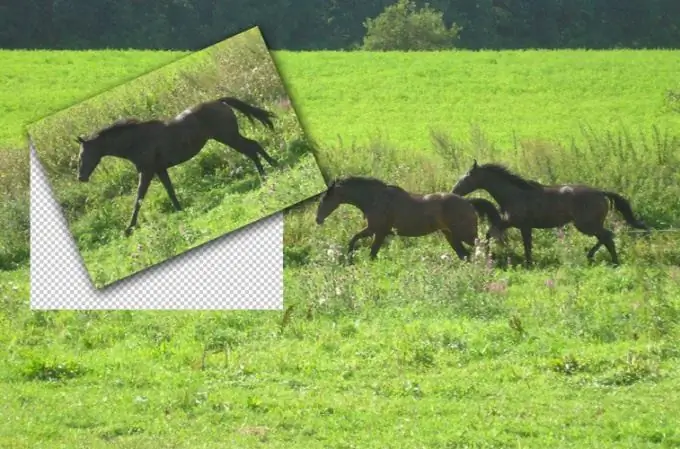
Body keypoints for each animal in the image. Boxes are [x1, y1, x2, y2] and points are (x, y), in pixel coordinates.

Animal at [79, 96, 278, 236]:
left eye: (82, 156)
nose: (81, 177)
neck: (136, 141)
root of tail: (219, 101)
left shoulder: (147, 171)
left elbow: (138, 199)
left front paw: (128, 229)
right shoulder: (159, 170)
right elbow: (170, 191)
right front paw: (180, 211)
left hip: (228, 137)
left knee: (252, 148)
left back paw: (267, 173)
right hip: (229, 137)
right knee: (253, 147)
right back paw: (272, 168)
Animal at [314, 174, 504, 260]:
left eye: (325, 198)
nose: (318, 219)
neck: (374, 199)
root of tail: (468, 202)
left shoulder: (378, 231)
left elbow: (368, 249)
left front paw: (351, 258)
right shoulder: (375, 231)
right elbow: (356, 241)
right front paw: (349, 257)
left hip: (465, 234)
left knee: (482, 245)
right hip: (451, 235)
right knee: (464, 254)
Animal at [452, 160, 648, 264]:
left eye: (465, 178)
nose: (454, 192)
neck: (514, 193)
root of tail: (601, 192)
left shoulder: (522, 225)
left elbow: (526, 244)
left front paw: (528, 263)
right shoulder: (511, 223)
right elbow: (490, 233)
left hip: (586, 225)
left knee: (607, 236)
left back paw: (604, 258)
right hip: (588, 225)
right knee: (606, 237)